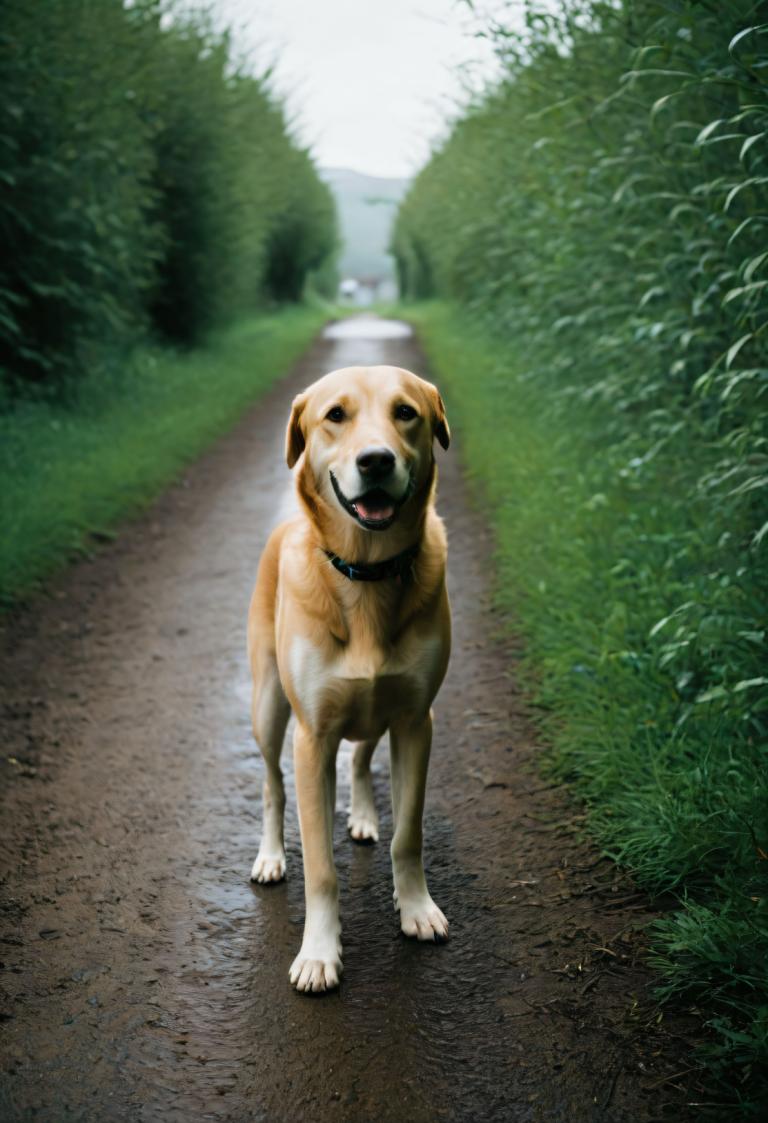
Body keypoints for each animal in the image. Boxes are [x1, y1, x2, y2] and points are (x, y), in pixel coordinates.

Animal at [245, 361, 449, 992]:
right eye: (335, 415)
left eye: (405, 412)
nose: (376, 461)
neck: (367, 572)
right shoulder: (312, 739)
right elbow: (321, 868)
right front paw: (318, 953)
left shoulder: (415, 722)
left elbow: (409, 833)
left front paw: (416, 908)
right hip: (268, 707)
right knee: (272, 785)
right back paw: (269, 857)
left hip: (376, 714)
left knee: (362, 760)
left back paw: (360, 815)